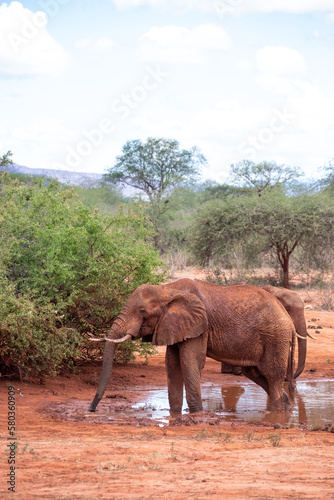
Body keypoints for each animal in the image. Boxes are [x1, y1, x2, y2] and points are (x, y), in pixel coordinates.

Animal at [88, 280, 294, 416]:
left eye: (142, 311)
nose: (91, 409)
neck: (167, 289)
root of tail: (289, 320)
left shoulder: (199, 325)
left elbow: (190, 362)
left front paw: (196, 415)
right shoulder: (174, 325)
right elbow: (172, 365)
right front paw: (175, 415)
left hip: (276, 338)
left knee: (272, 375)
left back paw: (275, 414)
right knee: (255, 373)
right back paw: (287, 406)